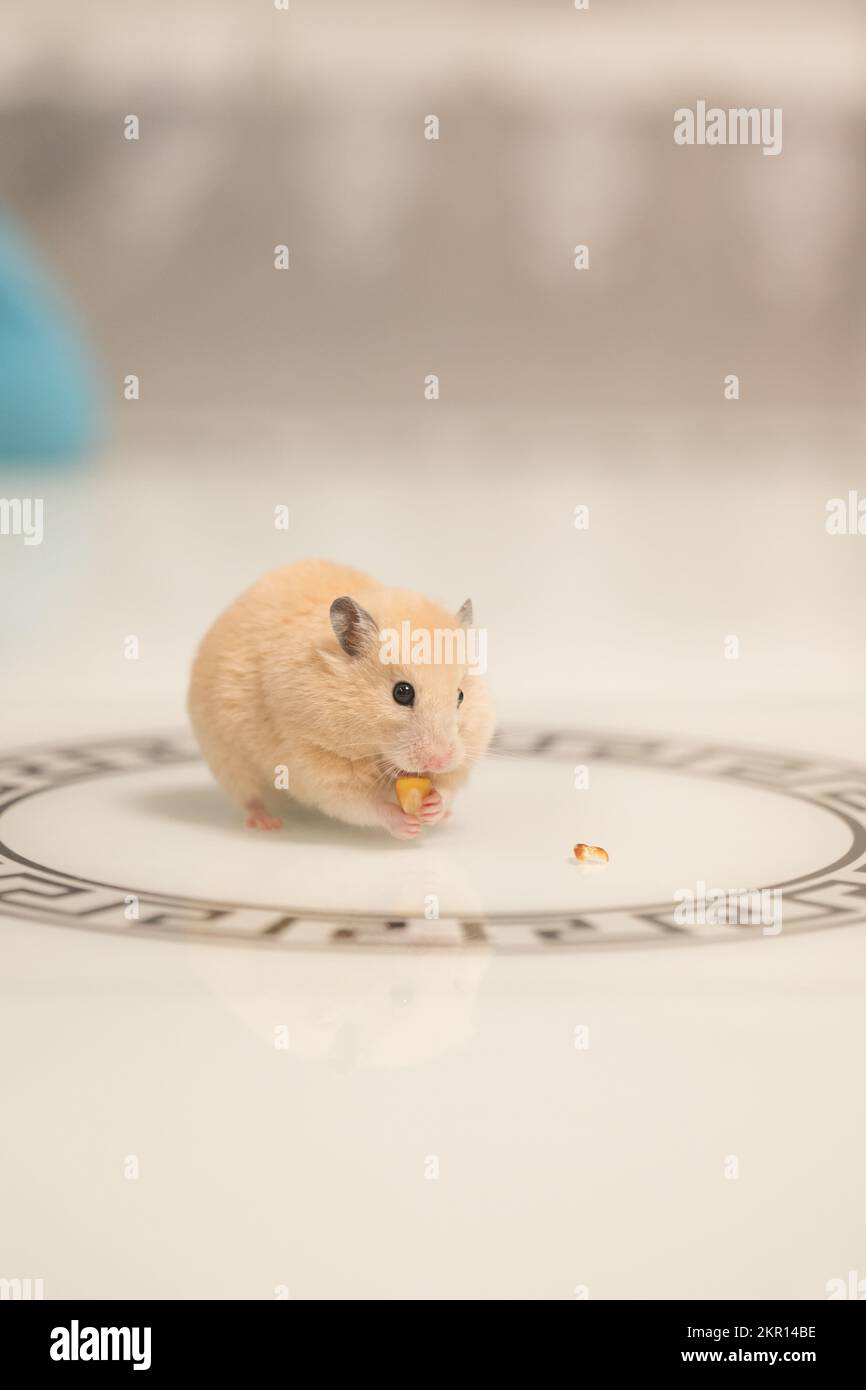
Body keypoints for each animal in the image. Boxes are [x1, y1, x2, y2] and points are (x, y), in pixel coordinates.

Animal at [188, 559, 495, 839]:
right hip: (227, 758)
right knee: (249, 797)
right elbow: (361, 803)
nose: (440, 761)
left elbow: (447, 786)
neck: (374, 750)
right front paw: (407, 826)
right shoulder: (313, 764)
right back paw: (267, 823)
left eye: (460, 695)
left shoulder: (466, 752)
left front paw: (434, 808)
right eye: (402, 692)